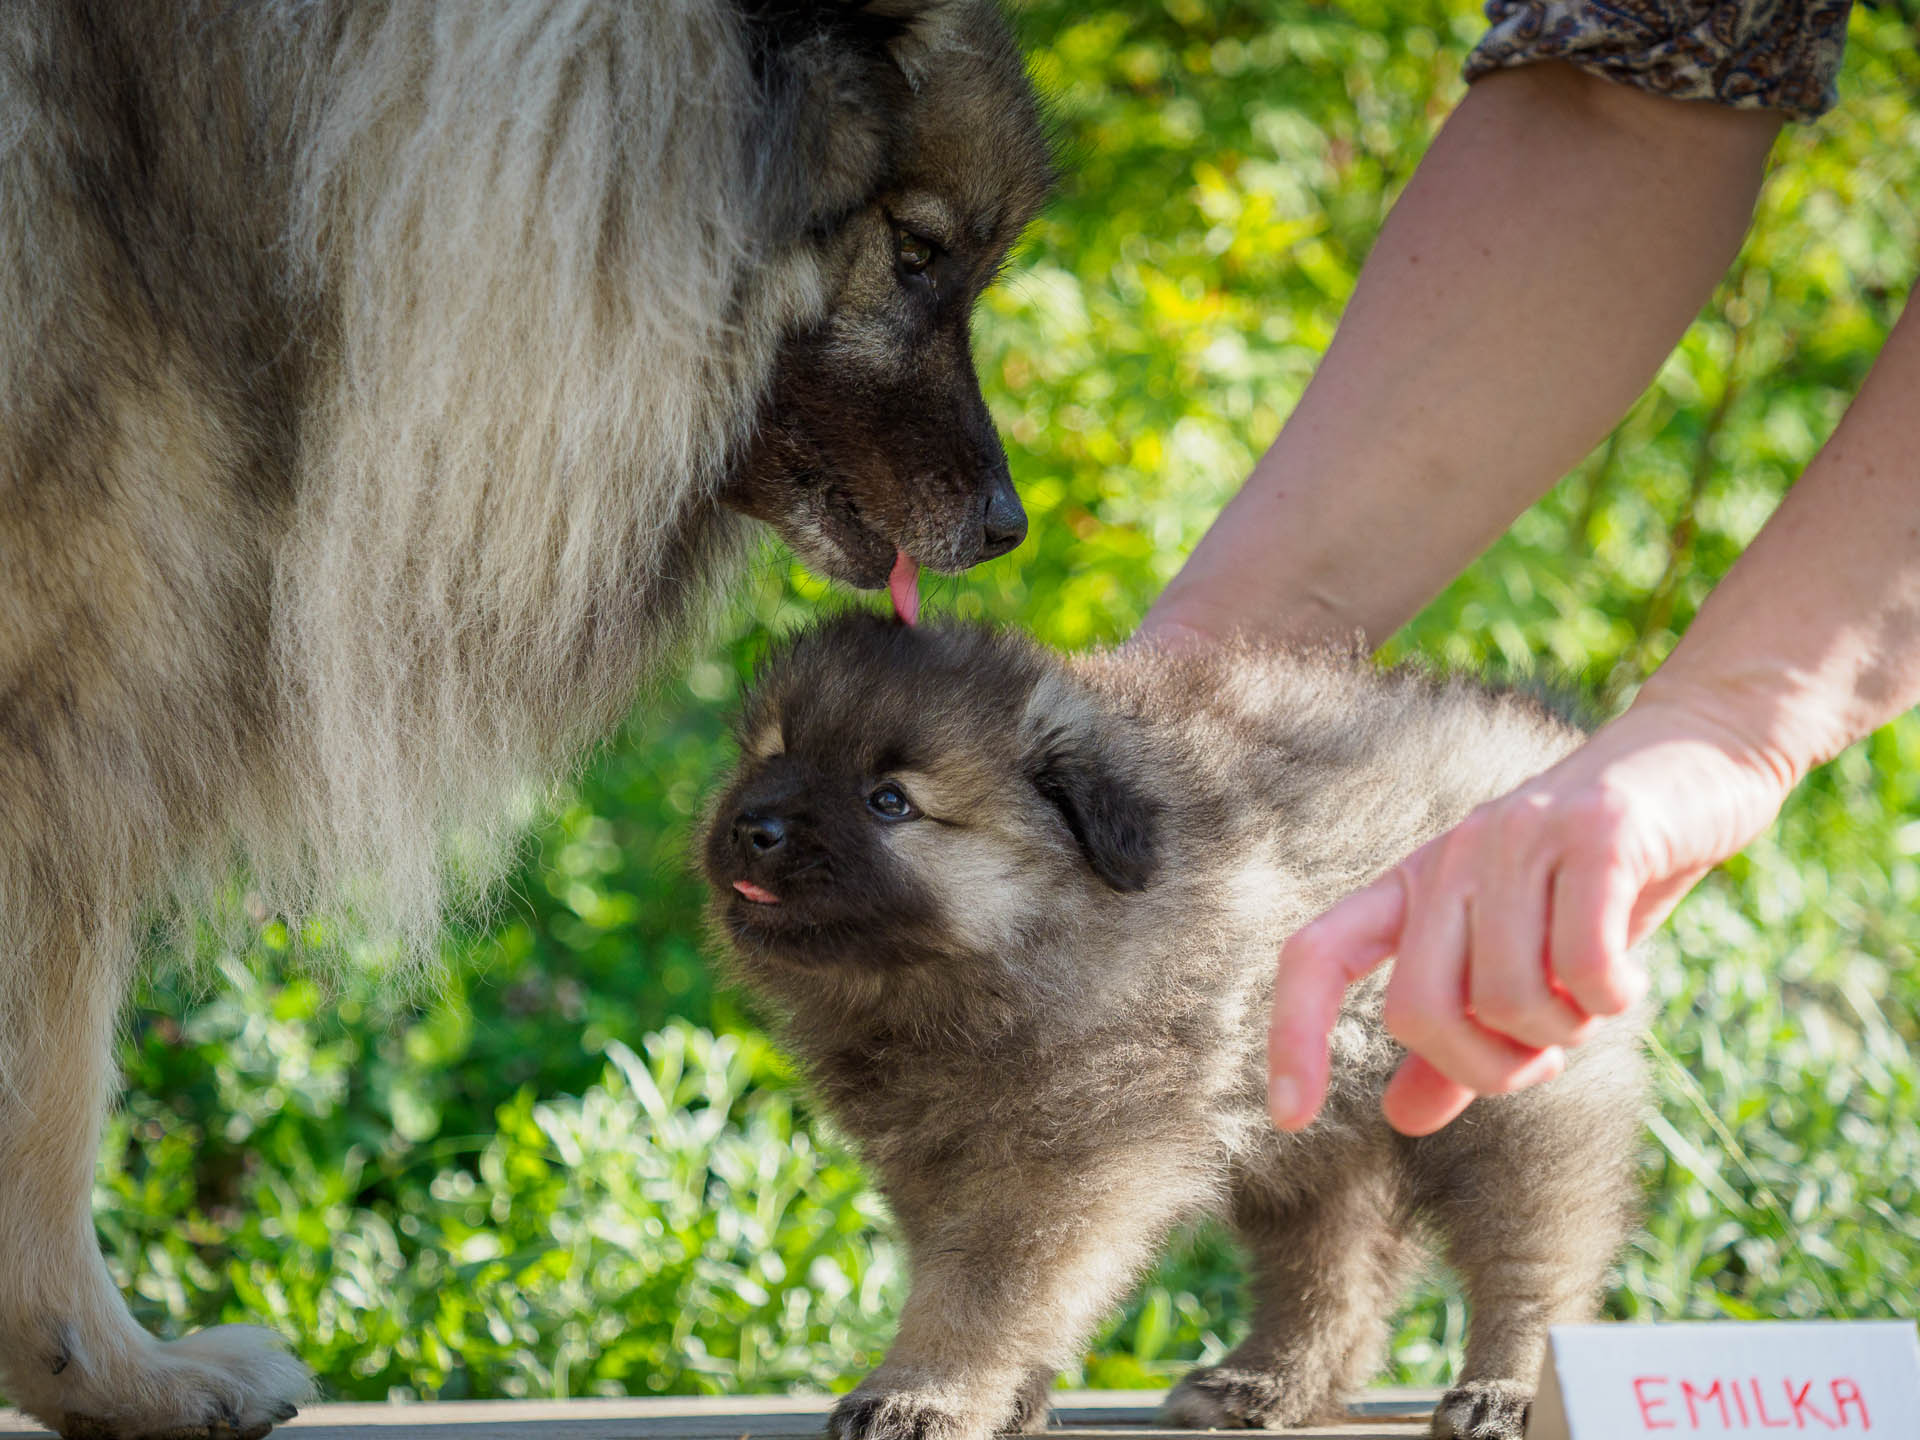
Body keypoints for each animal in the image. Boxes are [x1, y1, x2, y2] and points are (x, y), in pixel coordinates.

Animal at [706, 618, 1651, 1440]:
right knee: (1334, 1274)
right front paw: (1002, 1395)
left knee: (1535, 1262)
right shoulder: (941, 1167)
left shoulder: (1050, 1172)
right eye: (770, 753)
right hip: (1313, 1131)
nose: (755, 829)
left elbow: (976, 1298)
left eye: (890, 802)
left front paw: (920, 1395)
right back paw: (1266, 1382)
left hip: (1513, 1101)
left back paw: (1507, 1389)